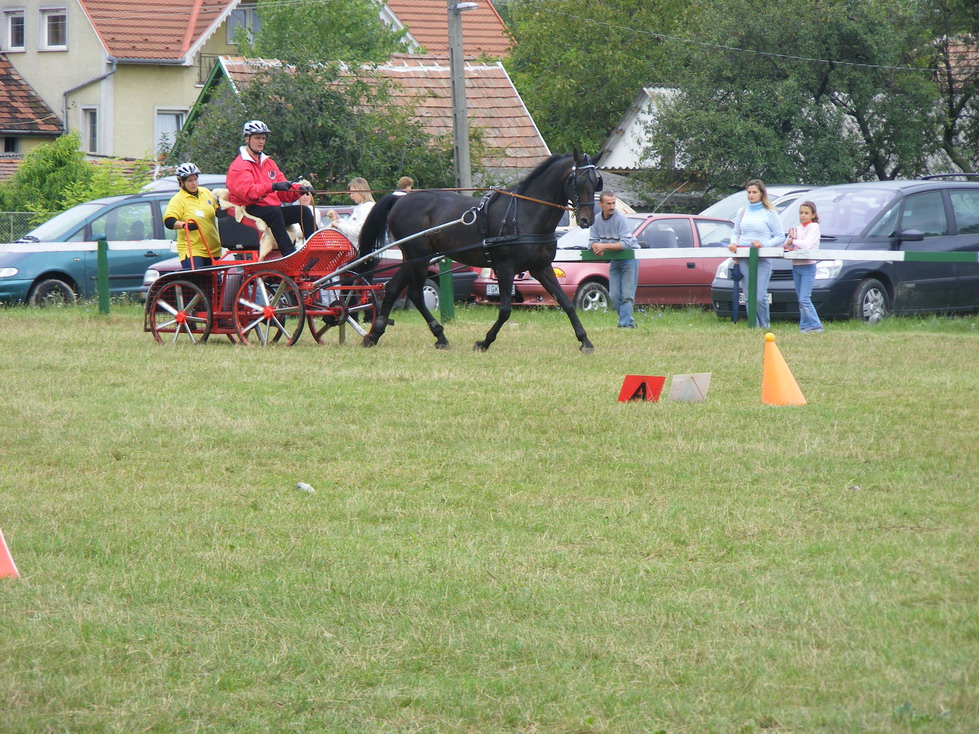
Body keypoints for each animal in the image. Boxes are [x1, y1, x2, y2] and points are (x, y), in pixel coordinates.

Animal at [358, 150, 602, 352]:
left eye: (596, 181)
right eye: (577, 180)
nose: (586, 220)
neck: (526, 214)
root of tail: (400, 200)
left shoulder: (540, 267)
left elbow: (566, 302)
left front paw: (585, 341)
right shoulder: (505, 268)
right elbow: (505, 310)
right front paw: (484, 342)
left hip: (414, 258)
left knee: (392, 288)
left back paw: (375, 334)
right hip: (418, 258)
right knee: (416, 294)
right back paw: (439, 335)